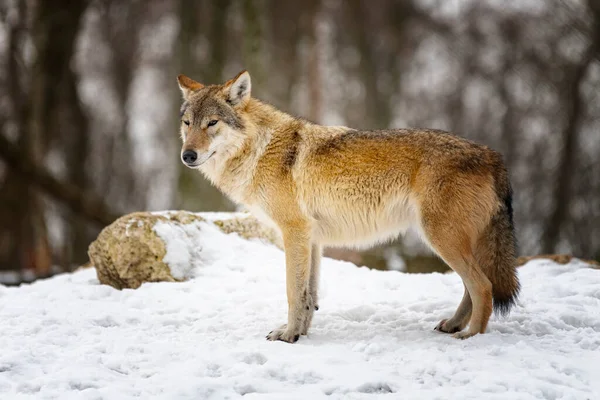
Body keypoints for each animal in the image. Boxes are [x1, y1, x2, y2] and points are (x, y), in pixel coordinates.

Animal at [176, 70, 516, 342]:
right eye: (187, 123)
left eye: (212, 123)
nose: (187, 155)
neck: (260, 149)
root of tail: (492, 155)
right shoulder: (312, 239)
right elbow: (309, 294)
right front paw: (300, 333)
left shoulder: (294, 232)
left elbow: (292, 292)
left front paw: (288, 336)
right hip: (448, 240)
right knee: (471, 287)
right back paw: (454, 325)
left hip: (441, 237)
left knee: (483, 287)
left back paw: (471, 336)